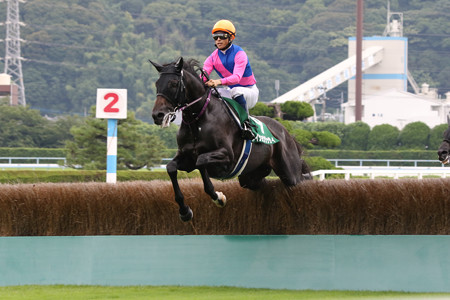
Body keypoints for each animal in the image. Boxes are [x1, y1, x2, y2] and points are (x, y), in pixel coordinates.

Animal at [149, 56, 312, 220]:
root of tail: (286, 133)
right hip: (251, 176)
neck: (199, 120)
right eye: (157, 84)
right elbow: (171, 168)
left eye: (173, 83)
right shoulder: (187, 158)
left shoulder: (227, 156)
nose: (158, 115)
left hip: (290, 173)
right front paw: (184, 211)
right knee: (266, 185)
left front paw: (218, 197)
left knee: (302, 180)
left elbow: (201, 161)